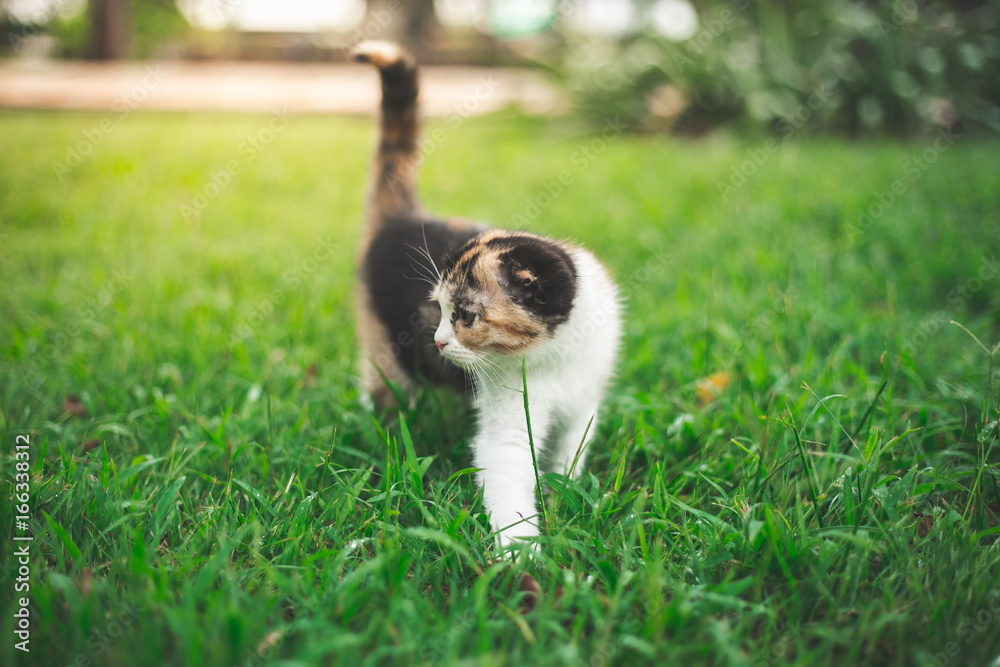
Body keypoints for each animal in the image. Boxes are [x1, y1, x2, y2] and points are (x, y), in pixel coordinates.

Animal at [350, 40, 616, 548]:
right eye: (436, 310)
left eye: (466, 317)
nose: (437, 342)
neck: (555, 356)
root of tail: (402, 219)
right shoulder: (508, 425)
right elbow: (509, 478)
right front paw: (521, 553)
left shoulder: (584, 404)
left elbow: (570, 453)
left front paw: (564, 495)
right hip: (382, 350)